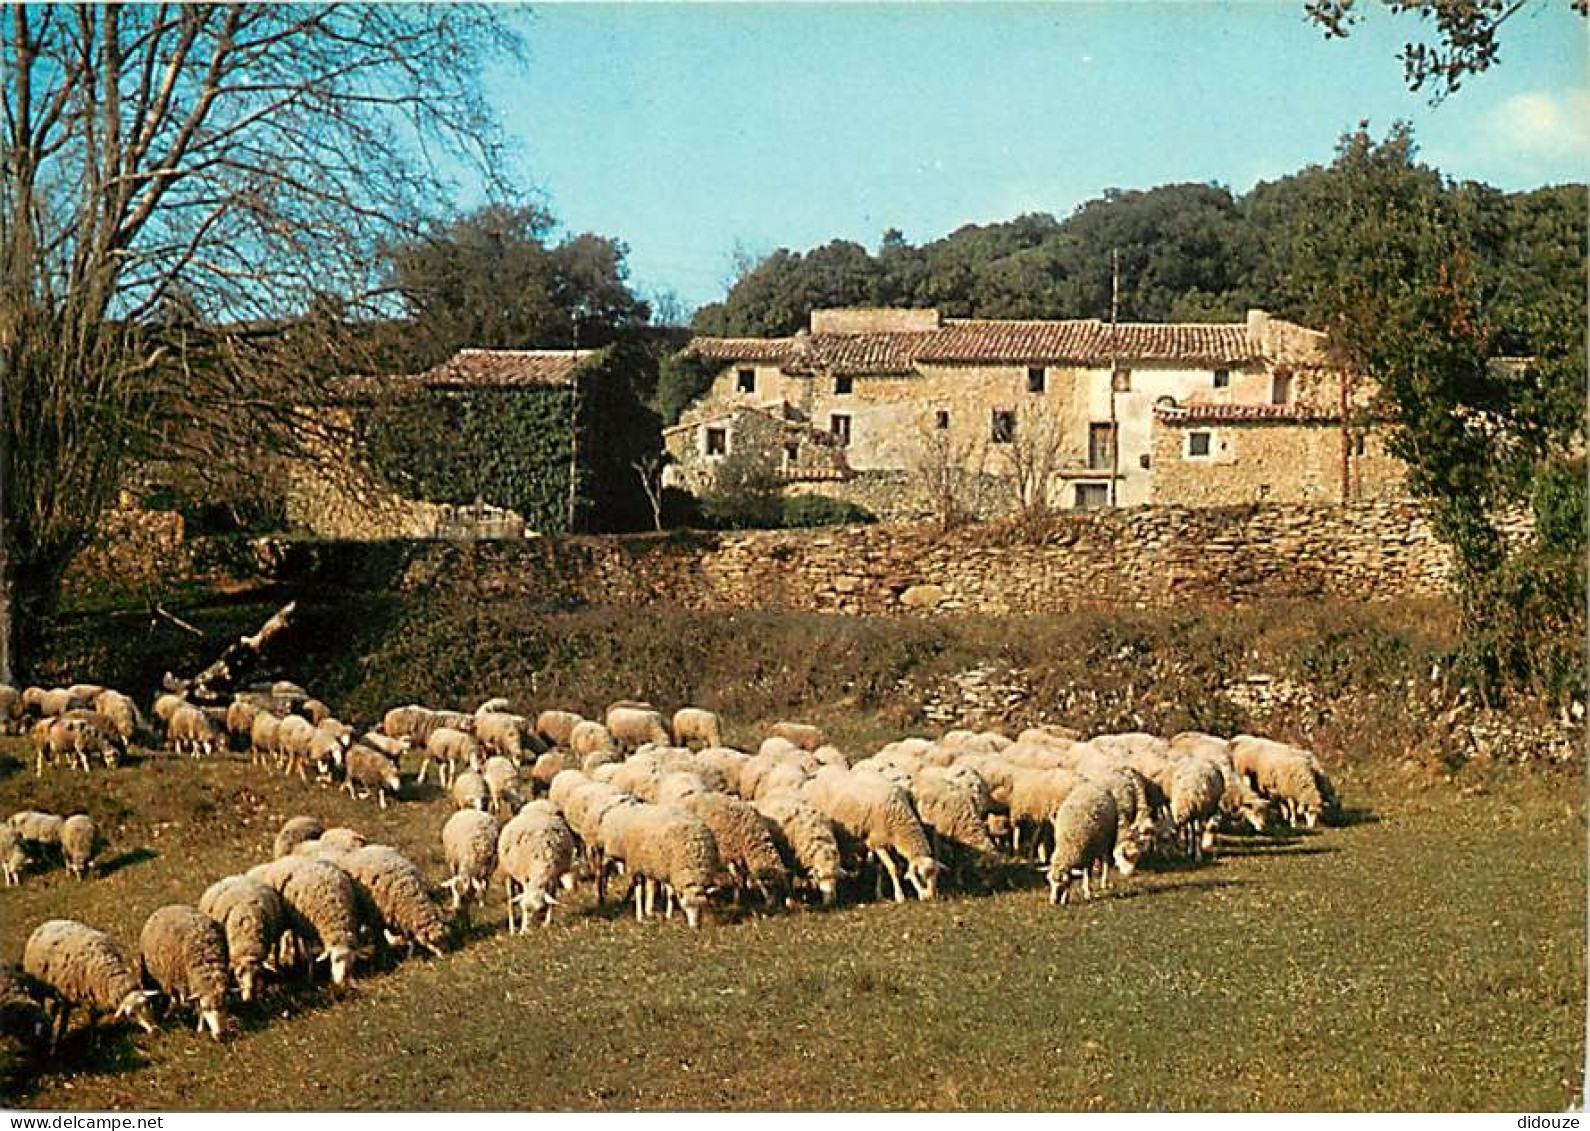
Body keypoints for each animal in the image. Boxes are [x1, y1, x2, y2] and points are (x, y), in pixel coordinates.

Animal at [243, 852, 362, 986]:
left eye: (352, 962)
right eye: (335, 960)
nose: (342, 983)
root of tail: (289, 857)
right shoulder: (306, 928)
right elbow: (309, 954)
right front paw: (310, 976)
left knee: (294, 937)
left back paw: (297, 958)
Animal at [496, 795, 578, 928]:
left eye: (539, 909)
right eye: (523, 908)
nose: (526, 931)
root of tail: (539, 802)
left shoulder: (553, 876)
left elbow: (552, 896)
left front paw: (547, 922)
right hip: (507, 871)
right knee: (510, 899)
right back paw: (512, 927)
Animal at [801, 769, 934, 903]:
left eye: (934, 876)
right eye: (920, 876)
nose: (931, 897)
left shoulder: (887, 841)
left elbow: (883, 868)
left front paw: (879, 894)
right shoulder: (877, 841)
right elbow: (893, 868)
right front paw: (900, 896)